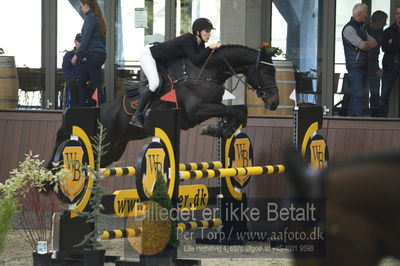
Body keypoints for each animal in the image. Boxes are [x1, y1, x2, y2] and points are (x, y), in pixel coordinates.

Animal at [50, 44, 280, 167]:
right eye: (267, 72)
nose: (275, 102)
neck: (206, 71)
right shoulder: (196, 111)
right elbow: (231, 110)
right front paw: (215, 129)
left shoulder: (212, 104)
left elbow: (240, 111)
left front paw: (221, 129)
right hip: (103, 145)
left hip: (114, 150)